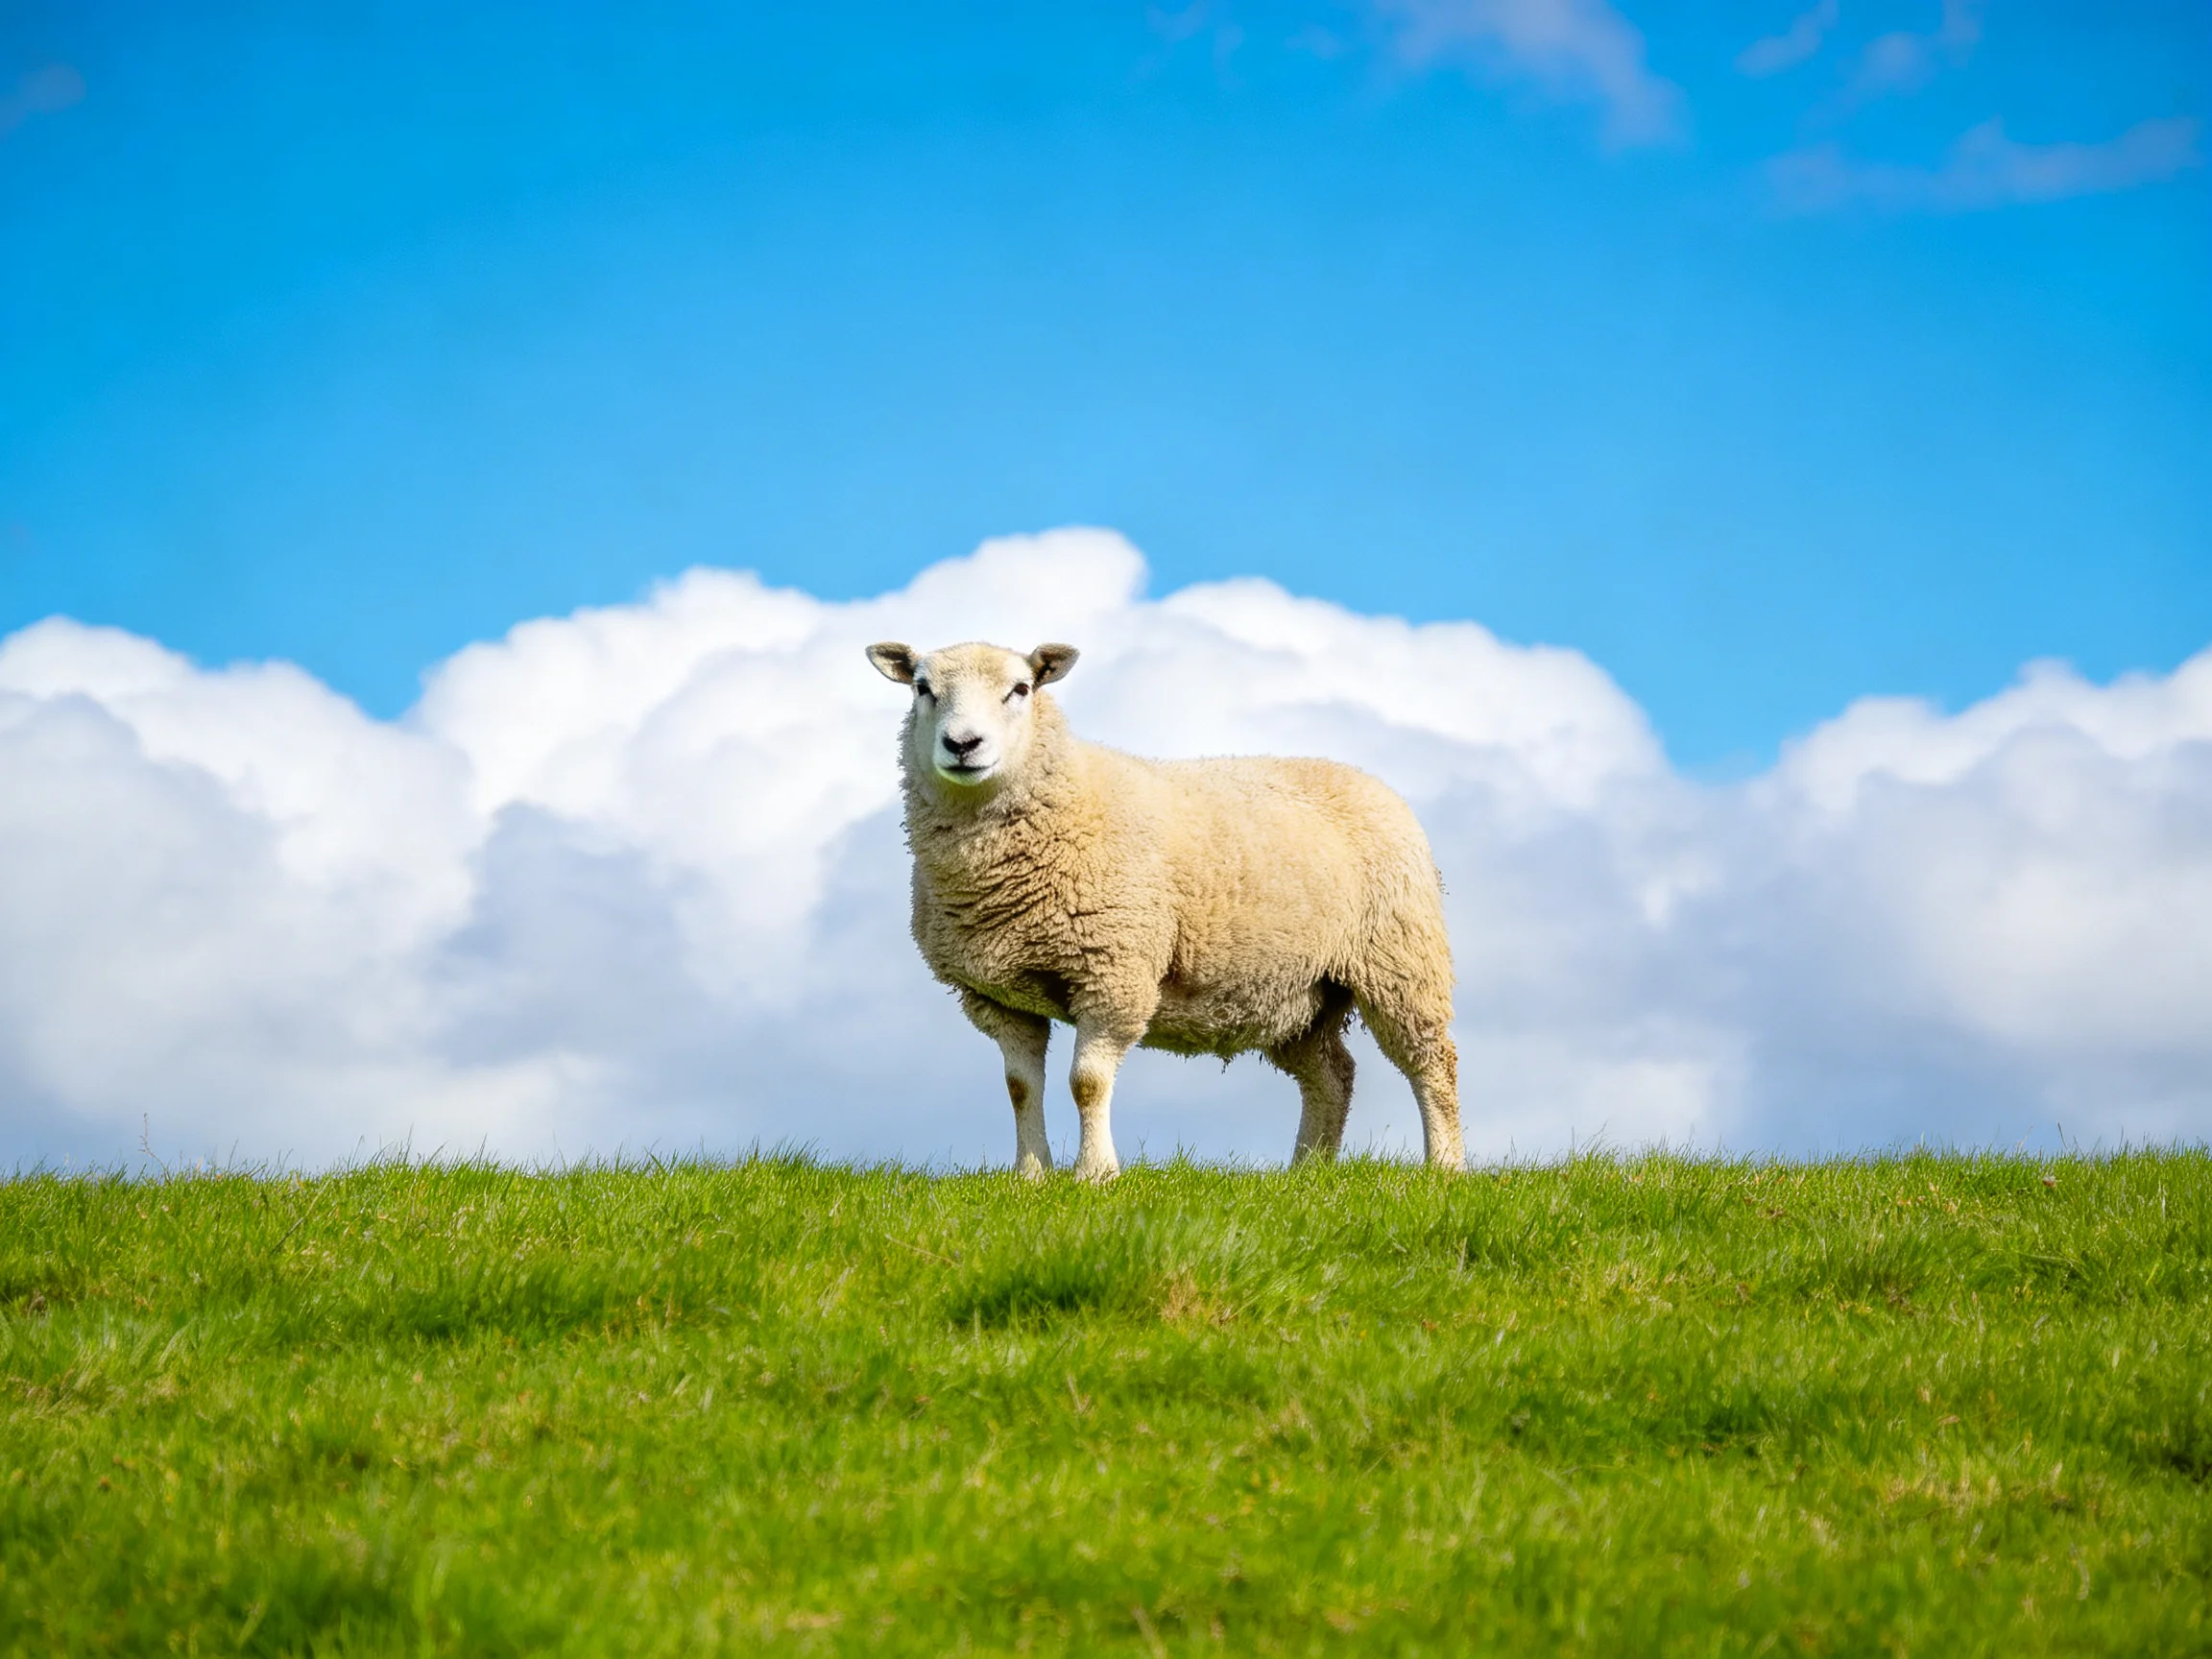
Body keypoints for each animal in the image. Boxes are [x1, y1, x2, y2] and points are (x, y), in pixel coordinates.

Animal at [866, 638, 1465, 1180]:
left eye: (1021, 689)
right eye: (923, 689)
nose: (963, 744)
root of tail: (1368, 780)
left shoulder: (1115, 973)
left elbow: (1087, 1082)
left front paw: (1095, 1174)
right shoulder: (999, 996)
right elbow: (1020, 1088)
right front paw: (1030, 1175)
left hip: (1399, 962)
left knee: (1432, 1064)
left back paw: (1445, 1168)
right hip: (1296, 994)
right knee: (1332, 1075)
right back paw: (1307, 1171)